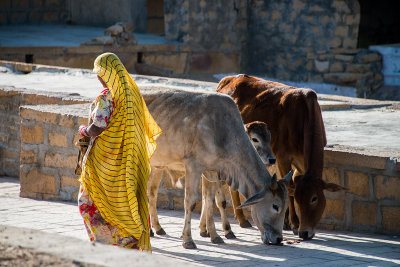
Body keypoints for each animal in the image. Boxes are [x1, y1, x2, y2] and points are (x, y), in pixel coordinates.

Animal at [216, 75, 346, 241]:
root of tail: (227, 79)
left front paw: (287, 221)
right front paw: (293, 223)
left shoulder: (300, 161)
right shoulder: (283, 156)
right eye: (299, 199)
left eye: (314, 198)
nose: (305, 233)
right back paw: (242, 219)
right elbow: (289, 185)